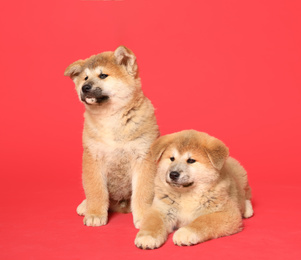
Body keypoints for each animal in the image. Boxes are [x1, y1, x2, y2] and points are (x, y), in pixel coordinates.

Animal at [64, 46, 159, 228]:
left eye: (103, 75)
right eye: (85, 78)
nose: (84, 87)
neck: (110, 117)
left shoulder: (143, 157)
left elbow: (143, 192)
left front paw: (144, 216)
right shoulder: (93, 157)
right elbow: (96, 190)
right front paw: (95, 213)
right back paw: (85, 205)